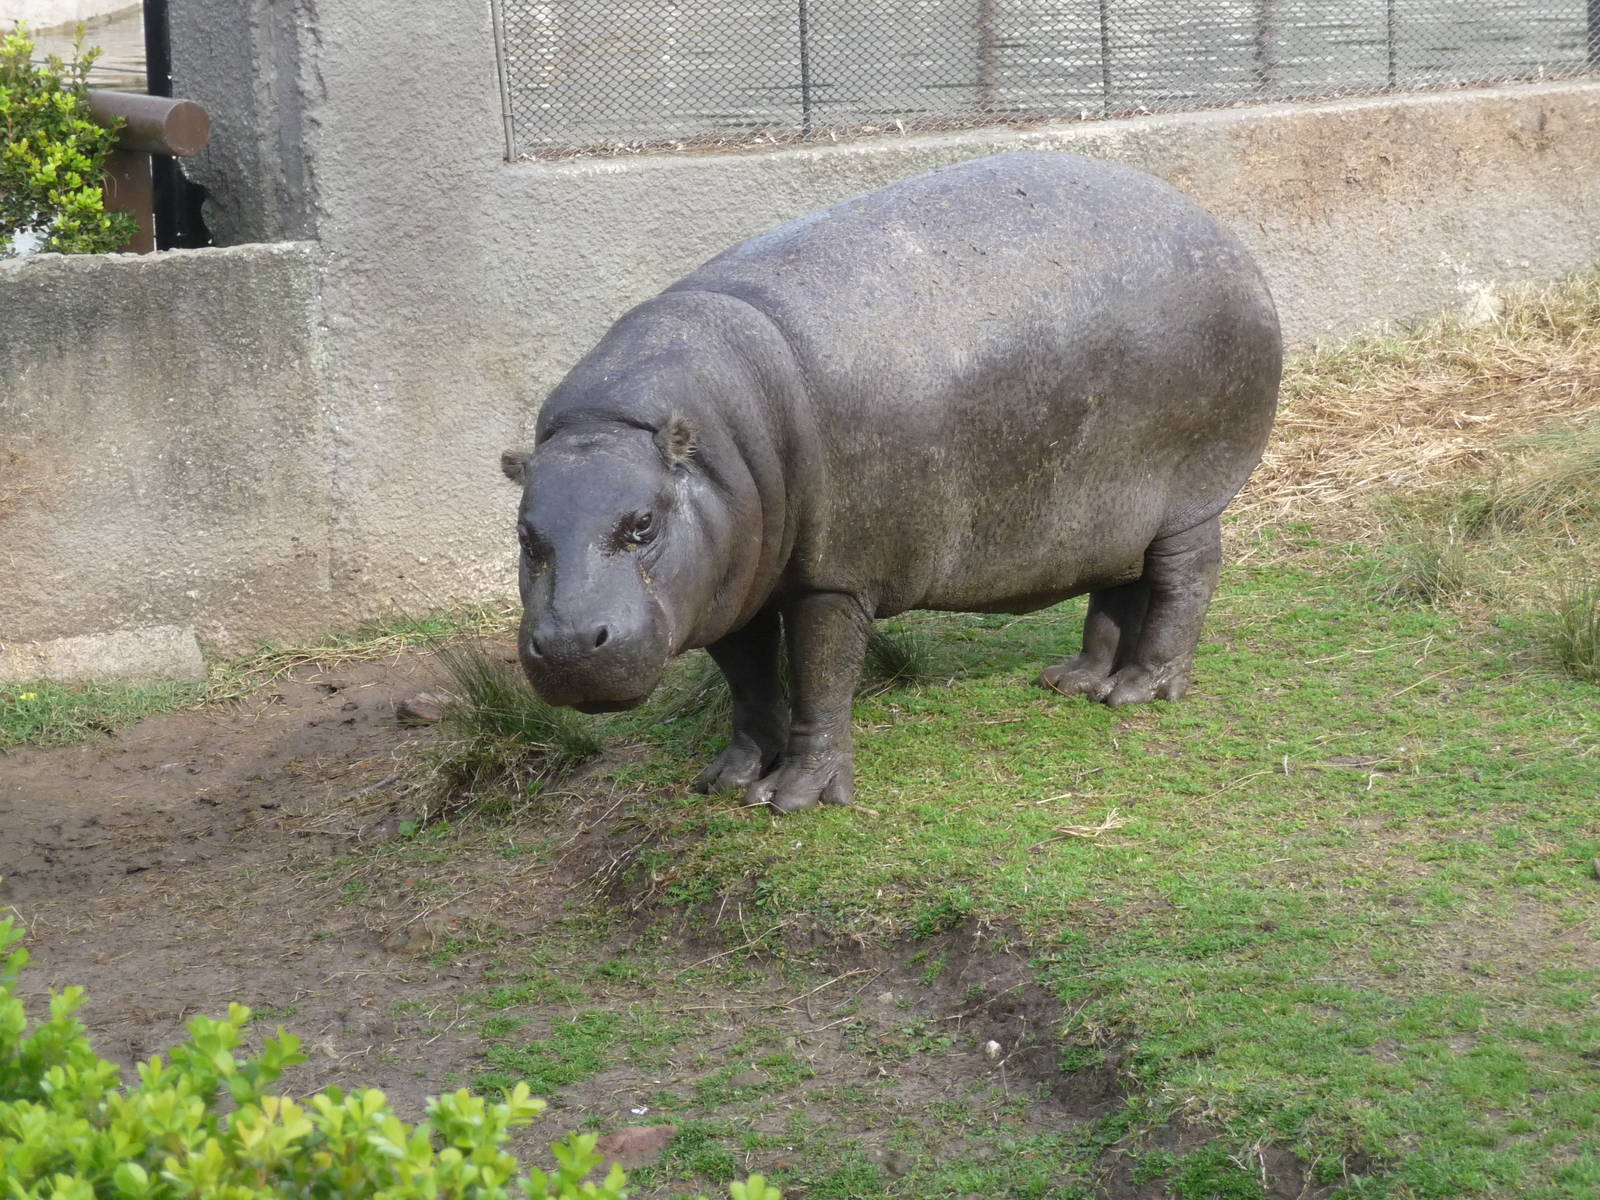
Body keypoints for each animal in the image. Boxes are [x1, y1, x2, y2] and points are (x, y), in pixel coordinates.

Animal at [500, 150, 1280, 813]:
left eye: (643, 524)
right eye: (524, 534)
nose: (568, 644)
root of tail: (1214, 226)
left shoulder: (831, 578)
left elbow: (819, 677)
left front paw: (793, 797)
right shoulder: (728, 581)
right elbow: (747, 681)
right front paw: (727, 778)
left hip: (1189, 499)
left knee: (1185, 581)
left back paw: (1141, 691)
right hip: (1113, 507)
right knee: (1119, 582)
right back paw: (1075, 680)